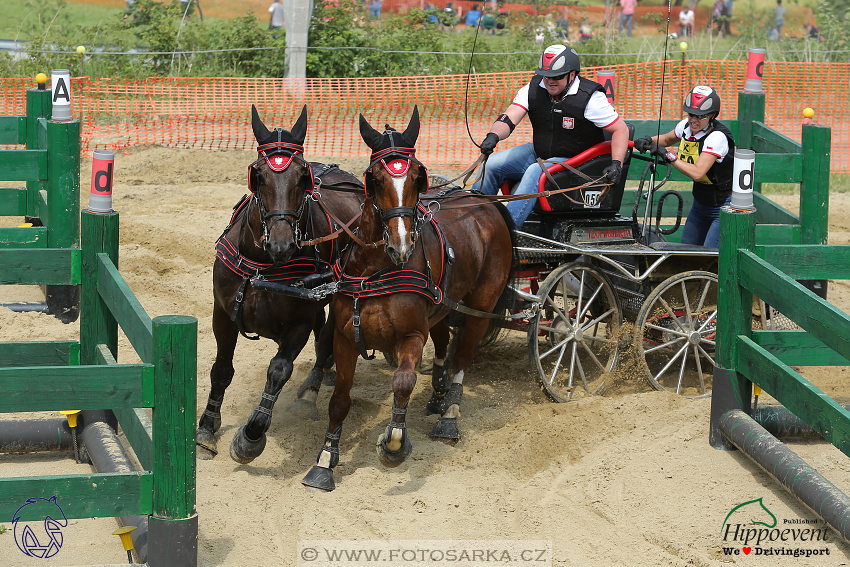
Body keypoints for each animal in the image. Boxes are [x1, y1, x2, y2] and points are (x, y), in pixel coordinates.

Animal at [197, 104, 362, 464]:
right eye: (257, 175)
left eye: (302, 177)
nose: (282, 244)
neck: (264, 266)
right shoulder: (222, 314)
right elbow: (221, 370)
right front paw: (207, 427)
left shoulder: (300, 321)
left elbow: (279, 371)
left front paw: (251, 436)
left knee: (326, 340)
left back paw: (311, 390)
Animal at [302, 107, 512, 492]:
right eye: (375, 179)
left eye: (417, 178)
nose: (401, 245)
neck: (375, 269)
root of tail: (482, 200)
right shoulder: (344, 338)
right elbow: (339, 399)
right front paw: (324, 462)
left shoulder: (412, 336)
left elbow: (402, 383)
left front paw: (394, 445)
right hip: (444, 303)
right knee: (444, 342)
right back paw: (438, 395)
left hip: (481, 306)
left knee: (463, 357)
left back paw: (450, 414)